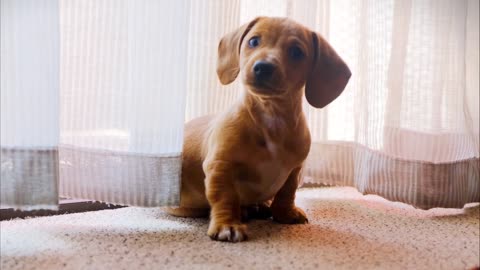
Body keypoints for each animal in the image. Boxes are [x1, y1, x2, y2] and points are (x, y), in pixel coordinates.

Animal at [167, 16, 350, 243]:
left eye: (297, 52)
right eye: (253, 41)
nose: (263, 67)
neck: (272, 118)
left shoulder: (295, 169)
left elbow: (287, 193)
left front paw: (285, 213)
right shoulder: (220, 166)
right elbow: (225, 197)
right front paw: (227, 224)